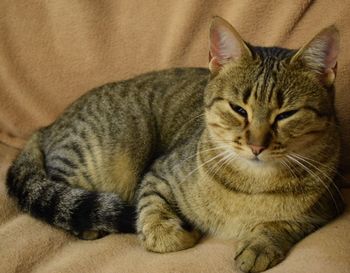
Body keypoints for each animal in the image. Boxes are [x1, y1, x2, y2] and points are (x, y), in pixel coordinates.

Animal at [6, 15, 344, 270]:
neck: (253, 184)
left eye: (286, 115)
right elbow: (154, 219)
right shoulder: (157, 175)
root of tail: (47, 125)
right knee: (58, 189)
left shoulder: (327, 207)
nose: (256, 146)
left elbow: (282, 224)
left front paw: (260, 244)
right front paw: (175, 233)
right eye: (238, 109)